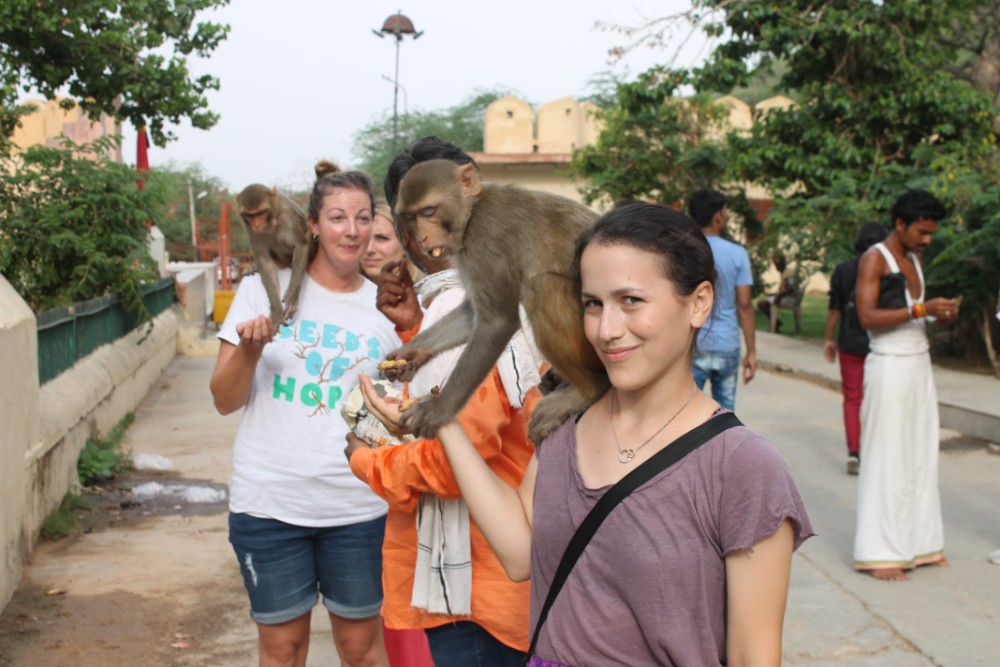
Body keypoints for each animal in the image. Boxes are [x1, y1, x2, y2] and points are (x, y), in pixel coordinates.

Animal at [235, 185, 310, 326]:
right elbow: (265, 264)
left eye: (261, 213)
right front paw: (276, 310)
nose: (257, 224)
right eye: (250, 215)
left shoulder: (287, 217)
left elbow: (301, 246)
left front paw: (292, 296)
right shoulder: (249, 229)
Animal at [384, 159, 604, 446]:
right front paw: (411, 352)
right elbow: (471, 314)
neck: (472, 212)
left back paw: (586, 392)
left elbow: (496, 322)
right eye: (411, 218)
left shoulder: (485, 240)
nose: (422, 238)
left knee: (542, 287)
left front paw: (438, 408)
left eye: (429, 211)